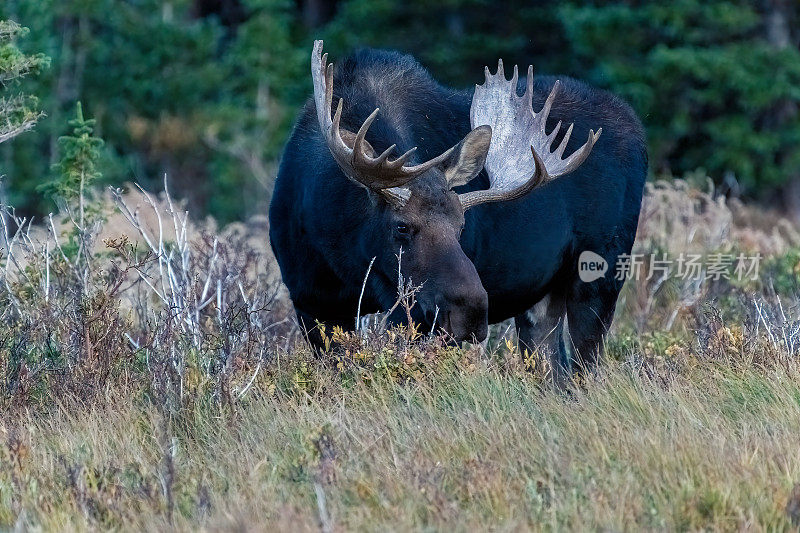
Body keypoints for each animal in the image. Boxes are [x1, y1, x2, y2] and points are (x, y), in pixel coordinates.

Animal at [272, 41, 648, 382]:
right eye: (401, 227)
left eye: (461, 226)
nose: (470, 311)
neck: (337, 249)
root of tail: (635, 122)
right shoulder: (311, 302)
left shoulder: (412, 315)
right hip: (541, 297)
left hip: (601, 273)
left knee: (587, 369)